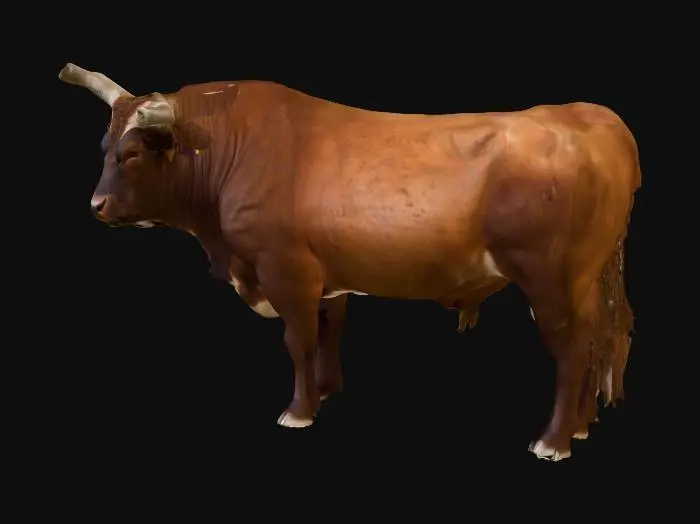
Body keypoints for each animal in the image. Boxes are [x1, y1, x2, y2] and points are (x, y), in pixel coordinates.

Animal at [60, 62, 641, 461]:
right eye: (105, 147)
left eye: (133, 153)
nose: (96, 205)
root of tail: (589, 116)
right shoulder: (328, 275)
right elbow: (328, 331)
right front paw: (324, 390)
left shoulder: (284, 267)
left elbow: (298, 340)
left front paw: (298, 411)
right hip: (590, 278)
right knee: (601, 338)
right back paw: (582, 425)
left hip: (552, 280)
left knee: (573, 351)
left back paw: (554, 440)